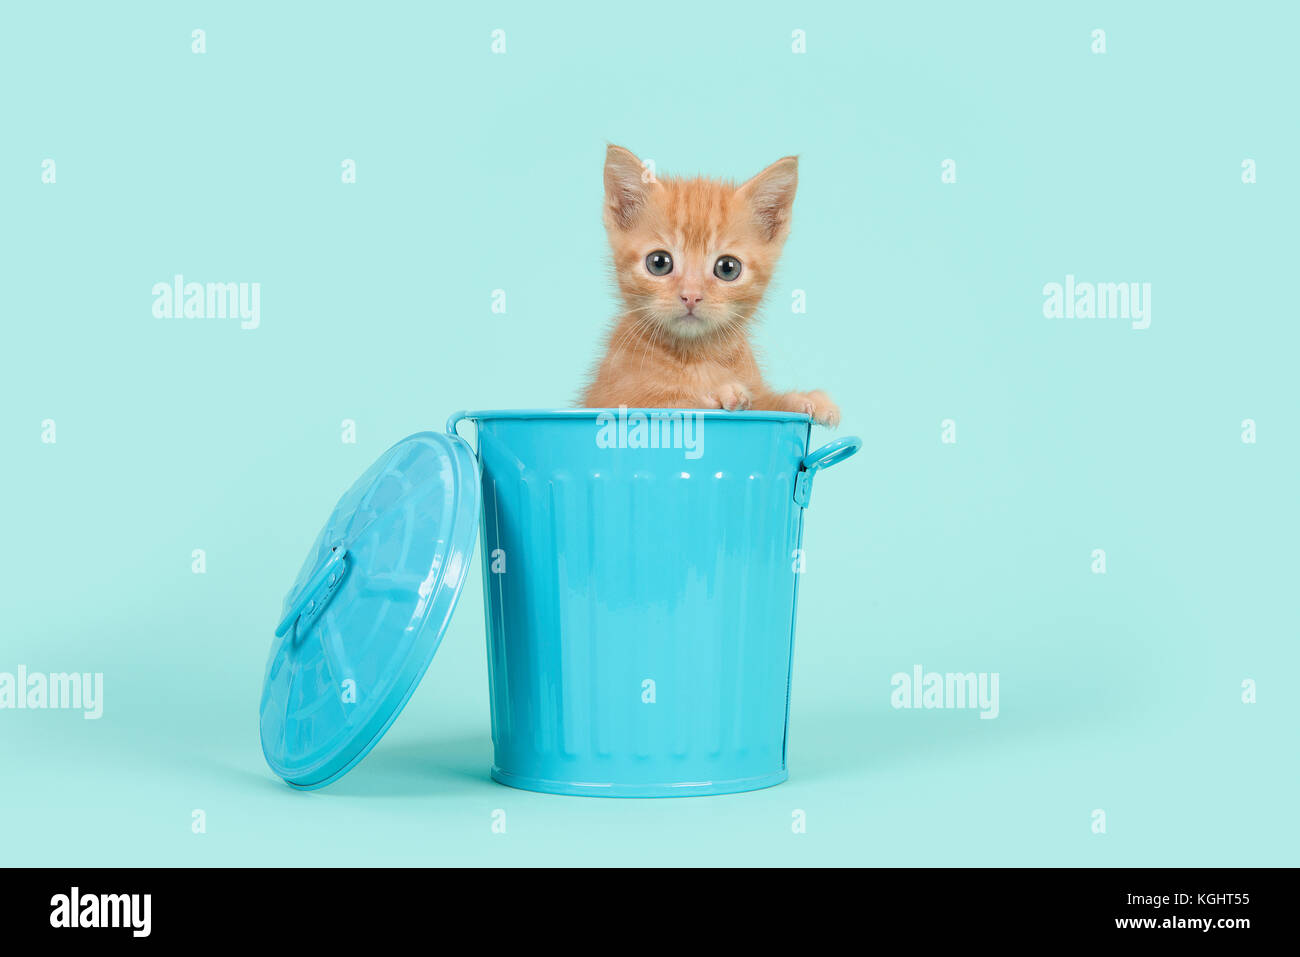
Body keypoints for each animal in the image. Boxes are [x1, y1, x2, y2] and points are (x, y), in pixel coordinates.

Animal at [582, 144, 842, 426]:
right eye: (659, 263)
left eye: (728, 268)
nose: (691, 296)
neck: (697, 356)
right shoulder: (613, 399)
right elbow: (672, 403)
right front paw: (719, 392)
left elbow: (766, 401)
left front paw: (805, 399)